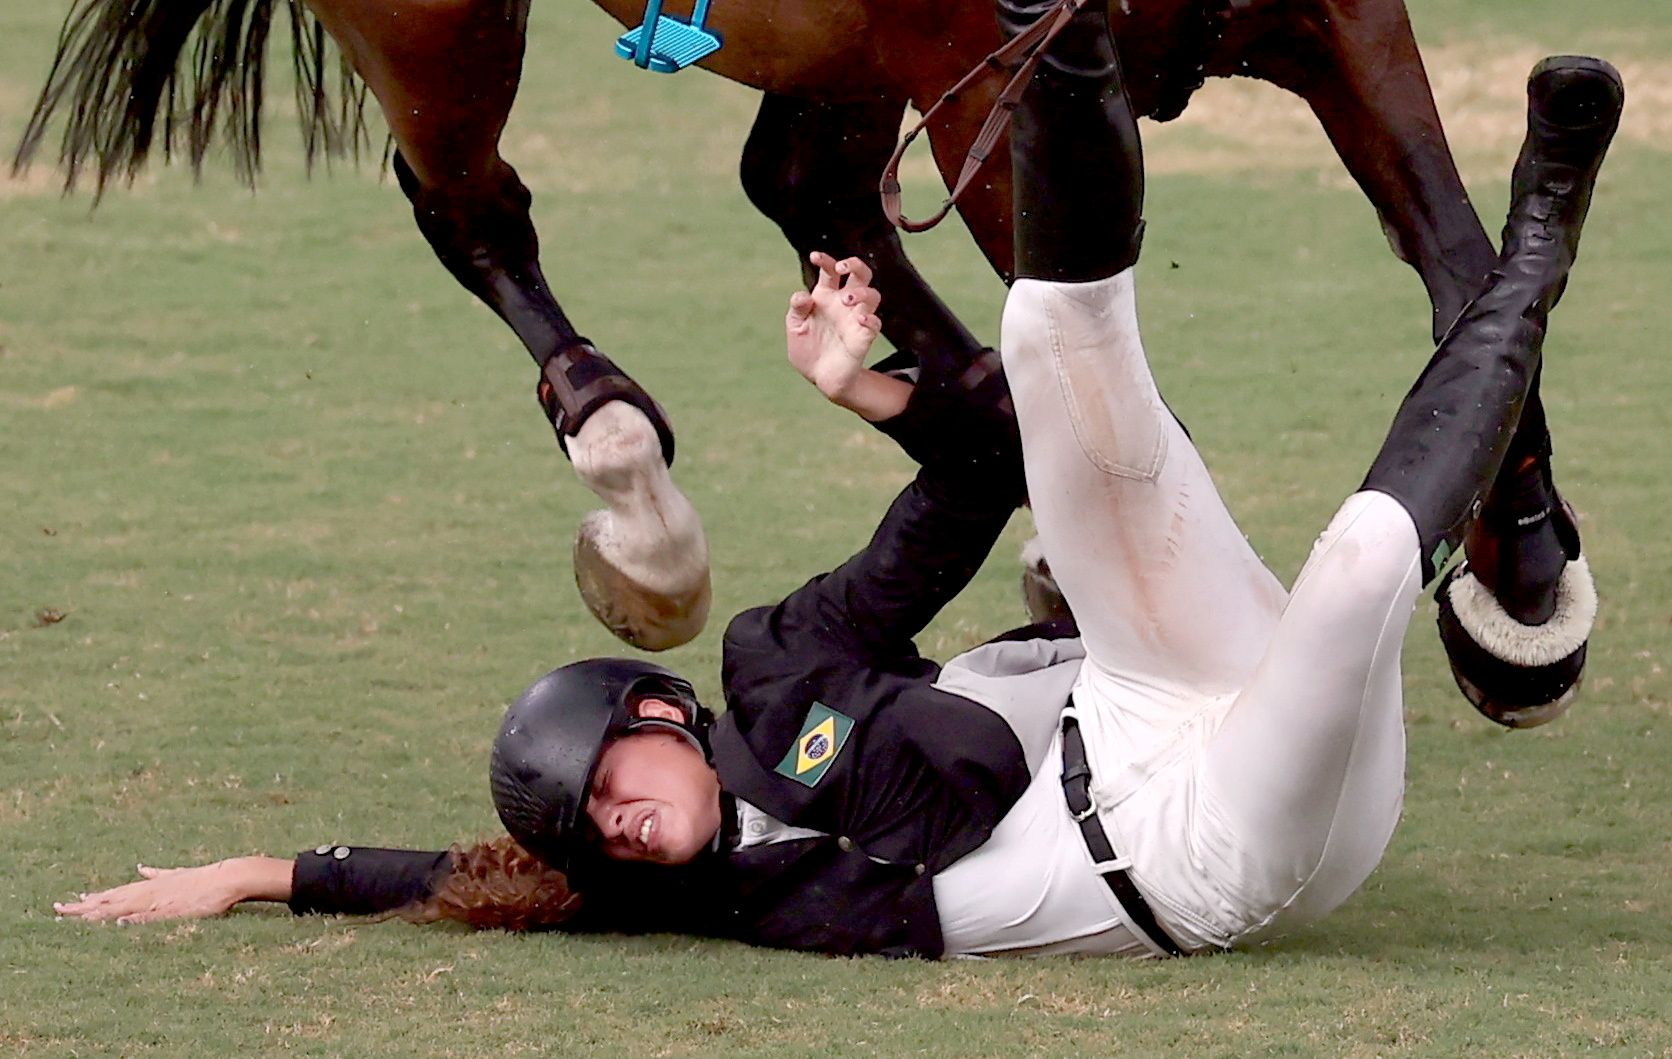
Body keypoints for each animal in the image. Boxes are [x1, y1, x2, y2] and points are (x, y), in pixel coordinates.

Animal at [16, 0, 1504, 649]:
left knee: (803, 184)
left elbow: (1461, 263)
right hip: (439, 21)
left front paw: (1519, 596)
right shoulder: (995, 79)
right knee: (470, 205)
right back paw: (630, 476)